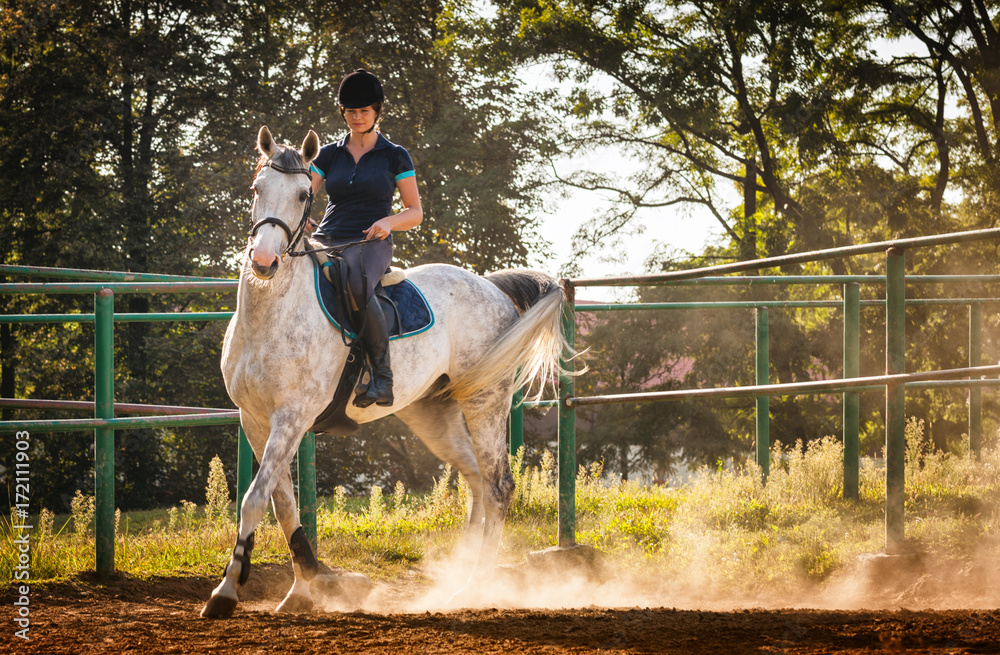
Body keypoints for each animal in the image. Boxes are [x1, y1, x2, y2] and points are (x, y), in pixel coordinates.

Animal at [201, 128, 572, 620]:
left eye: (303, 195)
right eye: (256, 188)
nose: (263, 260)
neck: (272, 314)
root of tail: (490, 285)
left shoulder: (292, 418)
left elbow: (254, 500)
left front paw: (225, 593)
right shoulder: (256, 419)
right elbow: (283, 506)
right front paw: (305, 586)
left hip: (485, 402)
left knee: (498, 486)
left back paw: (470, 588)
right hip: (432, 413)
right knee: (475, 480)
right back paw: (456, 575)